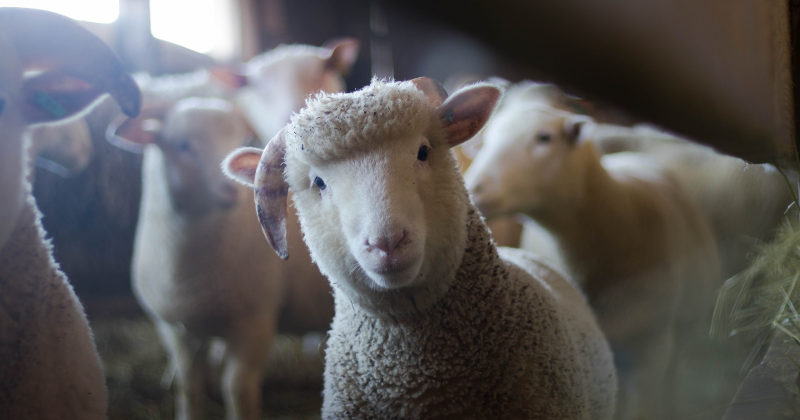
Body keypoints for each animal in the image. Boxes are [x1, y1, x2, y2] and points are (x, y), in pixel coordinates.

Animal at [109, 40, 359, 420]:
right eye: (182, 145)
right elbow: (189, 386)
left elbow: (237, 387)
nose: (230, 189)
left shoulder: (254, 321)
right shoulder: (174, 329)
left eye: (239, 137)